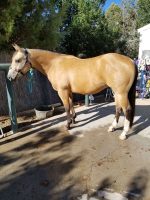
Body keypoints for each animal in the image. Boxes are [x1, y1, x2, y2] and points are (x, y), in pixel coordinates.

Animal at [7, 44, 138, 140]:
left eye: (17, 60)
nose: (9, 77)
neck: (55, 64)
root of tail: (130, 61)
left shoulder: (62, 91)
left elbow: (66, 107)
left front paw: (68, 124)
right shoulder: (68, 91)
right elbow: (71, 105)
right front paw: (74, 119)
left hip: (121, 93)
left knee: (127, 109)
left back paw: (124, 133)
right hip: (117, 93)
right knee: (118, 109)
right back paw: (112, 127)